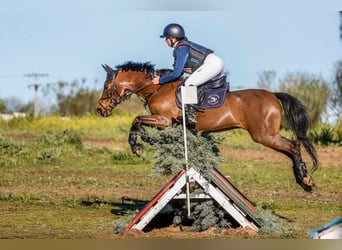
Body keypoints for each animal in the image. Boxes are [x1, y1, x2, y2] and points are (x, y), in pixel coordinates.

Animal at [96, 61, 318, 191]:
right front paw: (144, 140)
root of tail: (273, 94)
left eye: (107, 86)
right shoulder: (168, 124)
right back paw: (303, 179)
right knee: (291, 148)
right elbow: (140, 123)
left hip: (264, 135)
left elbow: (136, 120)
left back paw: (304, 178)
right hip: (266, 135)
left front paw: (137, 146)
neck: (157, 88)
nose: (100, 109)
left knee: (293, 146)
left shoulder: (164, 120)